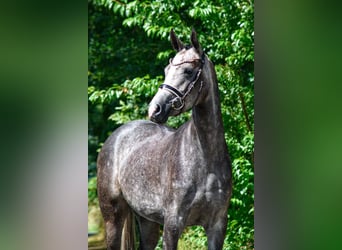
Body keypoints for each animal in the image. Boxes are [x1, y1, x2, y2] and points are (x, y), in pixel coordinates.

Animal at [97, 28, 232, 248]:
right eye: (166, 69)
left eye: (188, 71)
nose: (155, 109)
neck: (204, 156)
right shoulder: (172, 225)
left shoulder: (217, 226)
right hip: (113, 216)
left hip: (147, 220)